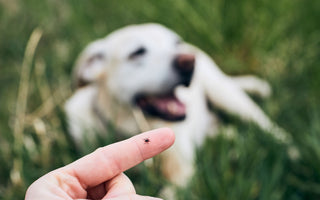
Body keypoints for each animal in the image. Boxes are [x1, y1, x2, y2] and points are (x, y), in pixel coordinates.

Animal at [65, 23, 290, 189]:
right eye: (137, 52)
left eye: (176, 43)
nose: (189, 61)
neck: (134, 127)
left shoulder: (182, 174)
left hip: (227, 96)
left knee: (266, 126)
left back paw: (290, 151)